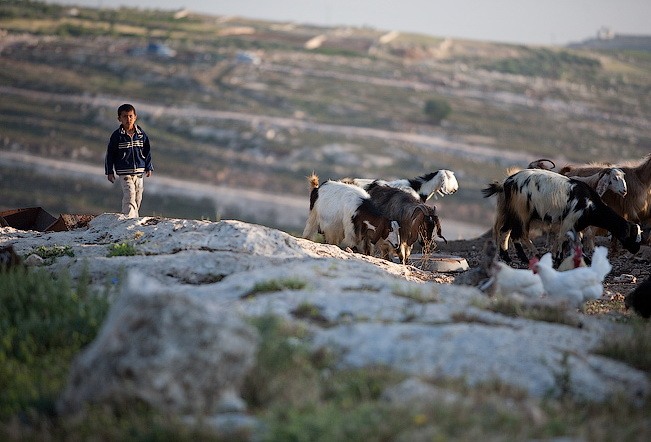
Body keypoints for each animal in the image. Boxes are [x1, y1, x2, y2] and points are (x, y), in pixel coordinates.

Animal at [482, 169, 644, 264]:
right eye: (632, 235)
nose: (636, 249)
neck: (589, 203)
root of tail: (507, 182)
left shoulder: (574, 226)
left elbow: (573, 242)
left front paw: (581, 258)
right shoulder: (568, 222)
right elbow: (564, 240)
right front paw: (559, 258)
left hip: (512, 213)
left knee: (505, 231)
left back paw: (507, 257)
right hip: (522, 213)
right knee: (519, 234)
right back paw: (531, 256)